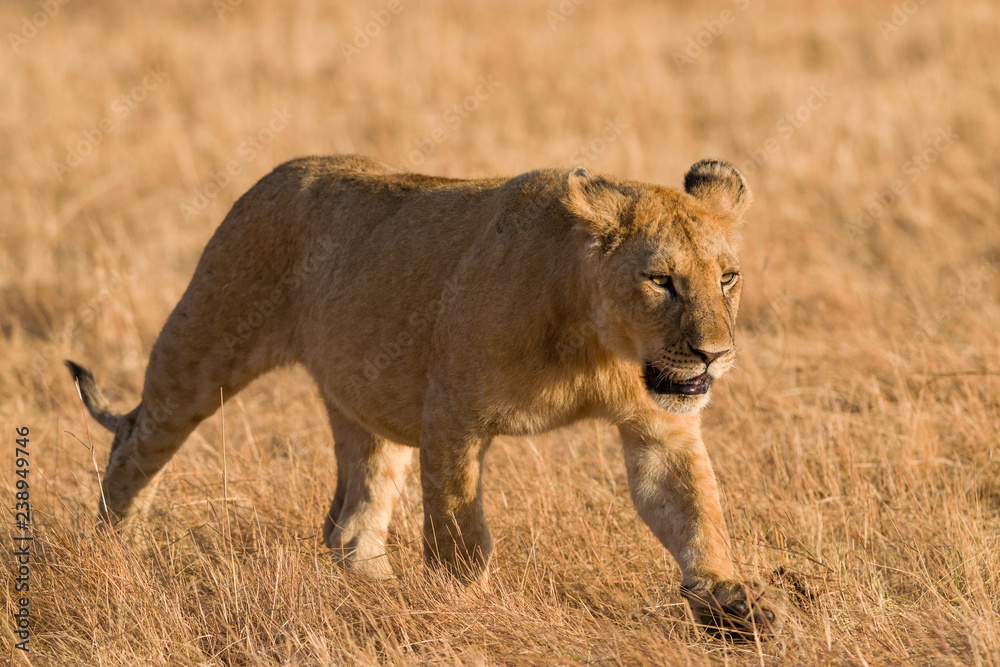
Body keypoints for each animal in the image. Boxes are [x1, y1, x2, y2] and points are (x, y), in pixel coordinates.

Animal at [67, 154, 781, 638]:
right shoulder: (453, 412)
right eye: (661, 280)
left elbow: (694, 512)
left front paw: (732, 606)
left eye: (728, 278)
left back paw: (375, 591)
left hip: (369, 401)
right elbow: (460, 532)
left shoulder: (660, 427)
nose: (714, 355)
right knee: (136, 441)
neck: (598, 345)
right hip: (205, 342)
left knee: (352, 518)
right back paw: (113, 556)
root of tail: (278, 172)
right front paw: (470, 611)